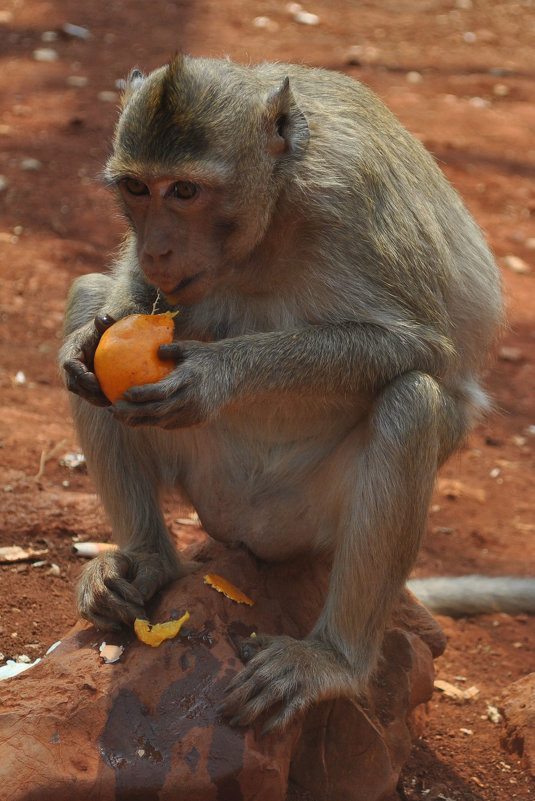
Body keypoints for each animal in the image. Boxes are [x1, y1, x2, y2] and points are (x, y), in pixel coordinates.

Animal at [60, 56, 504, 732]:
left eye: (184, 192)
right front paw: (85, 344)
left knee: (410, 401)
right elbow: (124, 303)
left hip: (309, 517)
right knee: (86, 292)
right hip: (208, 479)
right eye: (136, 188)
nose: (158, 246)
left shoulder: (351, 193)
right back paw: (145, 562)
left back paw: (332, 660)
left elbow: (424, 349)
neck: (275, 206)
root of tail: (250, 534)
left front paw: (217, 374)